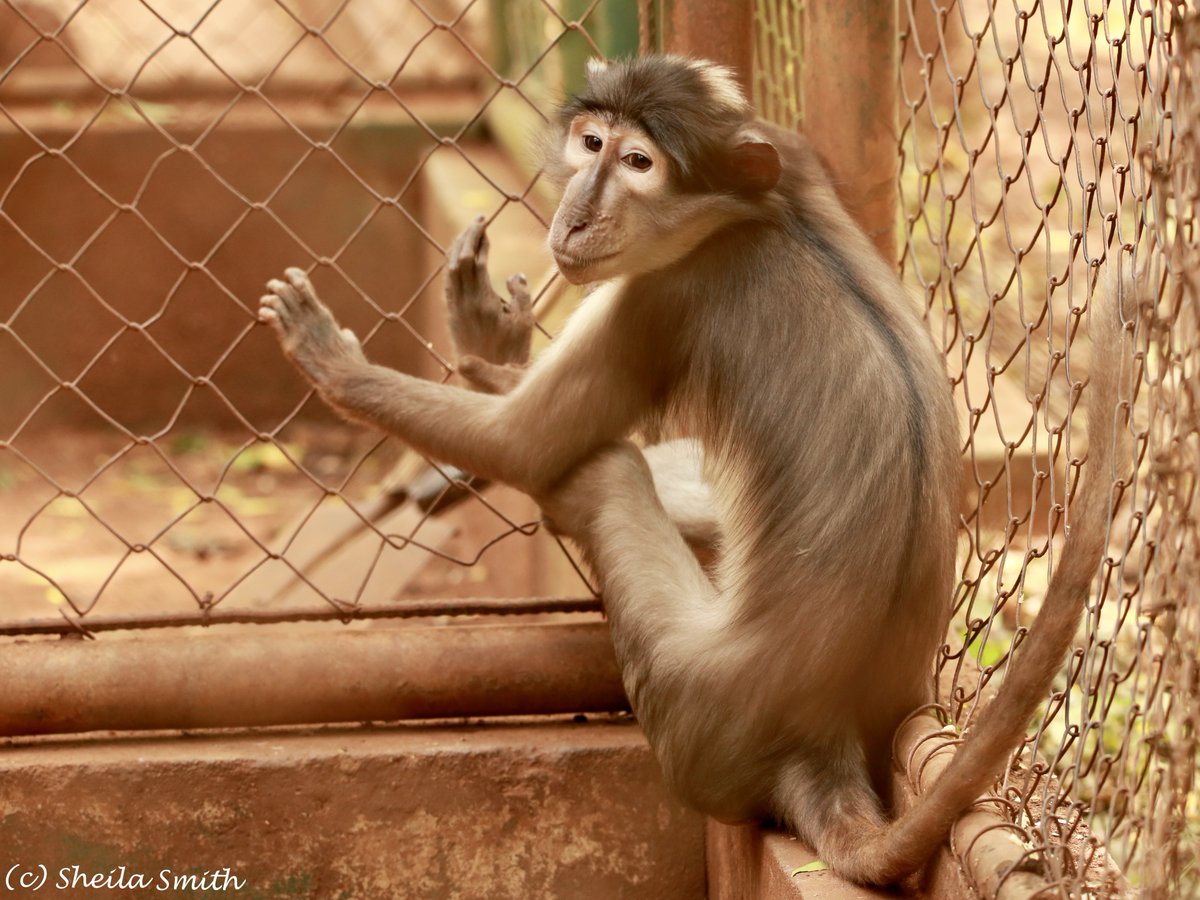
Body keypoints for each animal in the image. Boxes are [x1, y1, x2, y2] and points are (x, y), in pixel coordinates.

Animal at [257, 55, 1128, 885]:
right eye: (591, 144)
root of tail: (818, 737)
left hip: (682, 701)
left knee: (603, 470)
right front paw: (489, 345)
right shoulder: (792, 154)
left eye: (638, 162)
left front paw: (339, 364)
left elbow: (525, 444)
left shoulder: (665, 292)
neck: (761, 209)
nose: (578, 213)